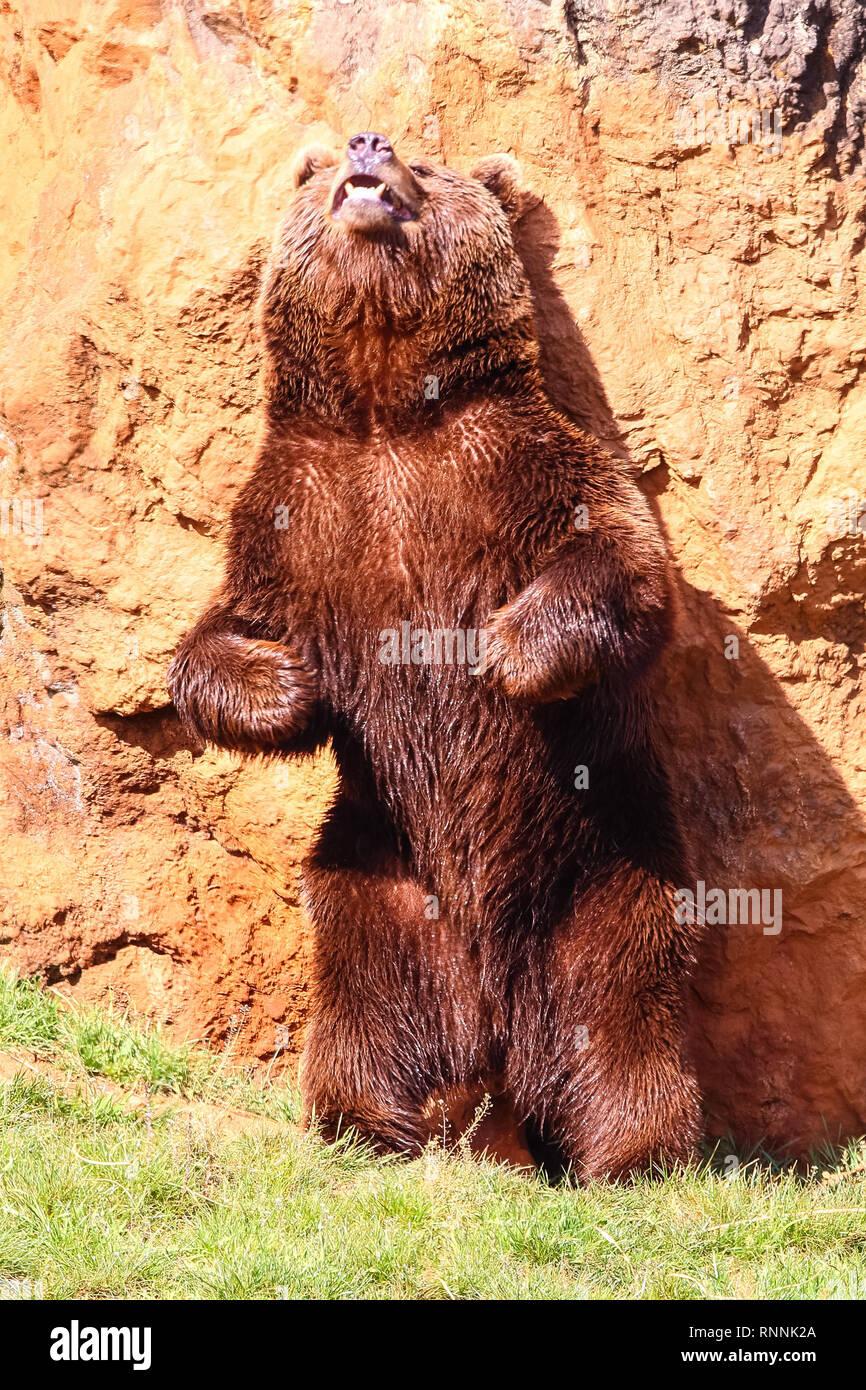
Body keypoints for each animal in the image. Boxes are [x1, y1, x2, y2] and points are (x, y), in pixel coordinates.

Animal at [168, 130, 703, 1180]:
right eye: (326, 158)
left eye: (426, 152)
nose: (368, 143)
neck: (389, 417)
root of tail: (494, 1029)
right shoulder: (294, 520)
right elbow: (217, 637)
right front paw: (289, 689)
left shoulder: (520, 469)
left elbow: (625, 565)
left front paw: (506, 651)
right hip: (381, 882)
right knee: (366, 1011)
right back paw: (363, 1123)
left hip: (606, 876)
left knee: (627, 1021)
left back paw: (634, 1155)